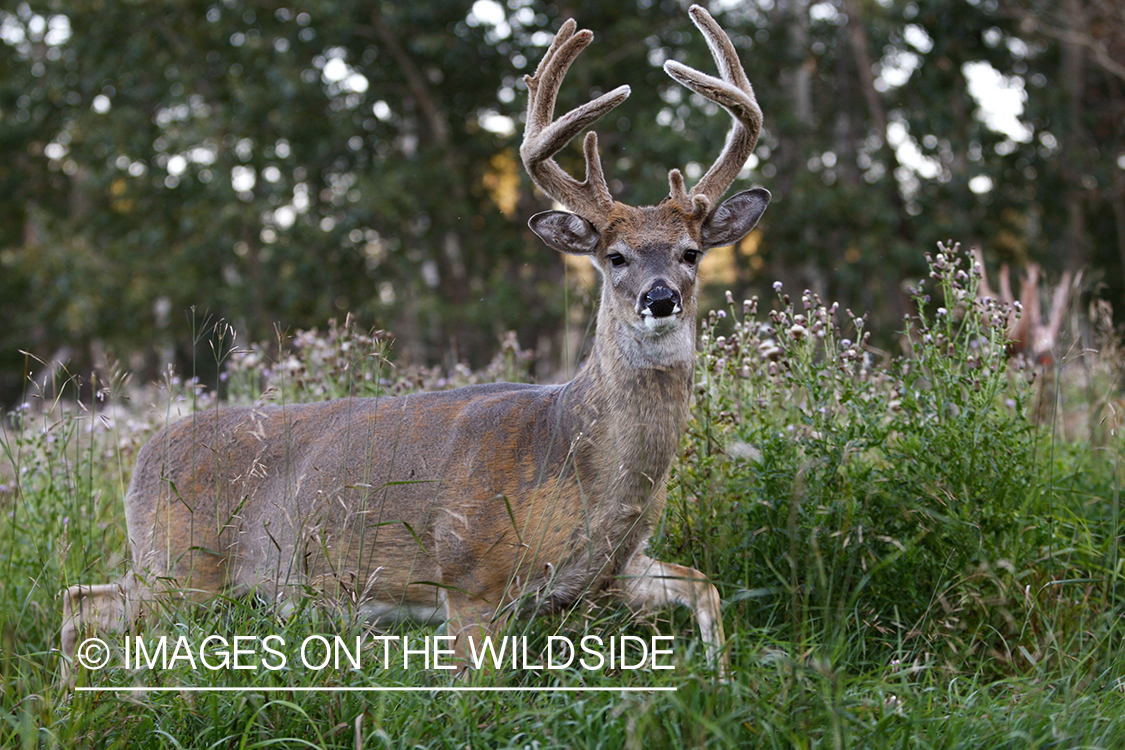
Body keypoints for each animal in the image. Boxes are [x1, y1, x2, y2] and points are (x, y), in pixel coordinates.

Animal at [59, 4, 765, 679]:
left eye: (691, 252)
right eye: (615, 257)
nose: (660, 299)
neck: (579, 461)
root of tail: (144, 454)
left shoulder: (613, 574)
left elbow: (706, 589)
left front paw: (722, 679)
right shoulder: (472, 577)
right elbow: (478, 689)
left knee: (84, 599)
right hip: (180, 564)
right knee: (84, 602)